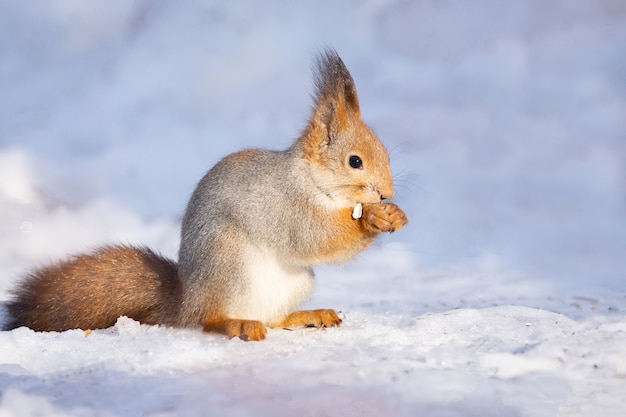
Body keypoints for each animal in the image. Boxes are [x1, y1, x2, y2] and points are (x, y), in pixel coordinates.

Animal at [4, 49, 410, 342]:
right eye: (355, 161)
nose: (386, 193)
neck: (313, 182)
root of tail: (187, 301)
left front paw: (393, 214)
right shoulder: (286, 206)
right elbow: (317, 238)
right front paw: (371, 219)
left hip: (294, 283)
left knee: (273, 318)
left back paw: (308, 315)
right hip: (228, 261)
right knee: (208, 320)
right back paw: (234, 325)